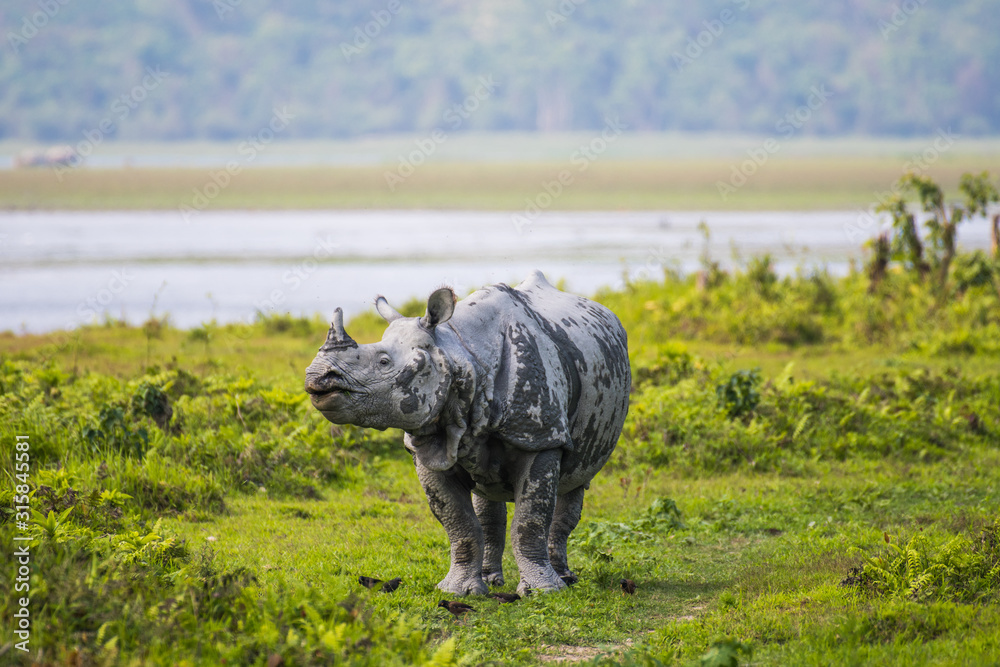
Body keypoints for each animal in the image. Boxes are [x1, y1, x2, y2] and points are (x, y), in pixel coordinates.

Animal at [304, 271, 630, 595]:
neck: (460, 353)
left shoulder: (541, 437)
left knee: (574, 483)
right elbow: (458, 523)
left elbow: (530, 521)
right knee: (488, 499)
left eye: (383, 362)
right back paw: (492, 580)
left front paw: (543, 591)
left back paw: (564, 579)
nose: (317, 376)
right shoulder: (428, 447)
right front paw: (457, 591)